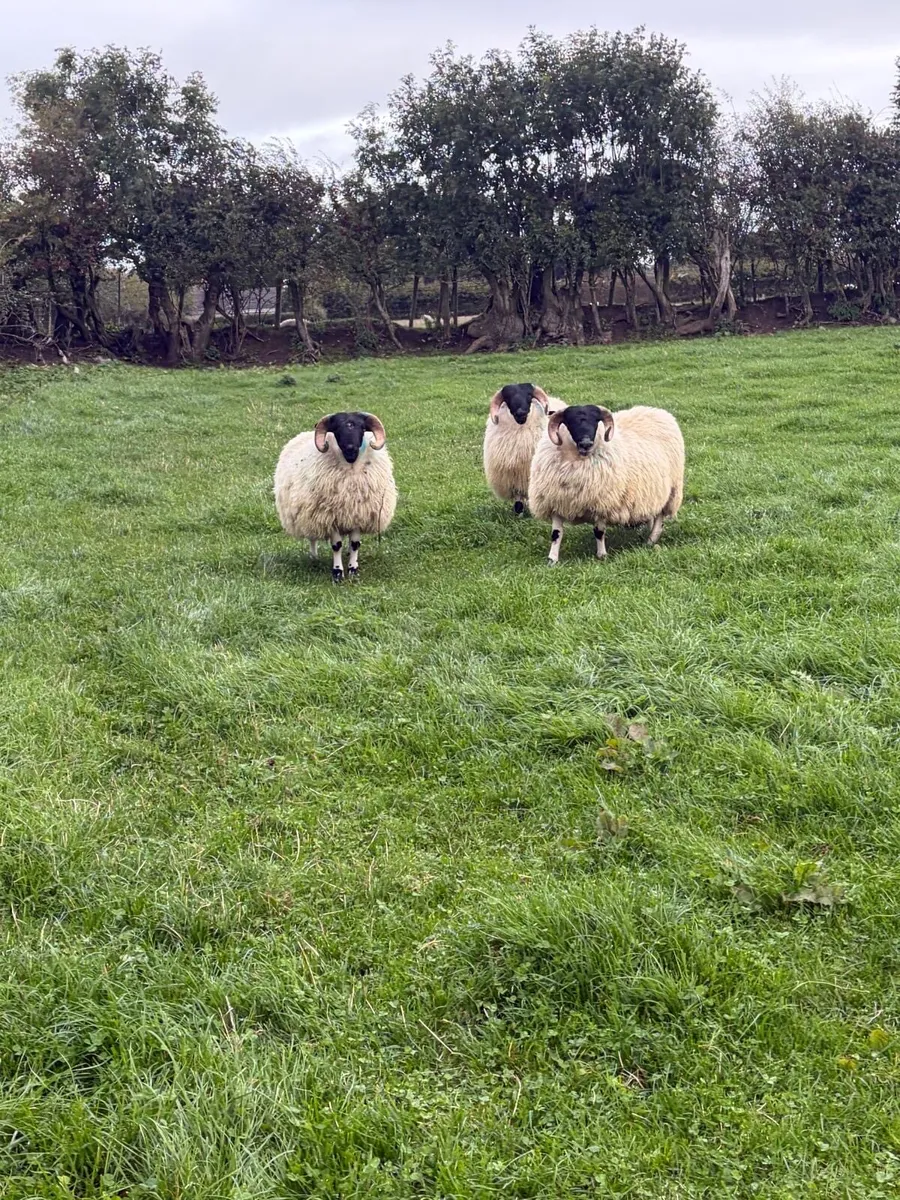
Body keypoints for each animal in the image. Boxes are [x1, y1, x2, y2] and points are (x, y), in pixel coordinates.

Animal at [274, 411, 396, 581]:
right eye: (336, 429)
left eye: (362, 427)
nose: (350, 447)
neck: (350, 465)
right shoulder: (329, 516)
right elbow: (336, 545)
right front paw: (338, 573)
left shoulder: (358, 514)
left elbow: (355, 543)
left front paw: (353, 569)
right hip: (308, 514)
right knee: (312, 538)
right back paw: (314, 557)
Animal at [482, 382, 565, 516]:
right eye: (508, 398)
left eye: (529, 396)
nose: (521, 413)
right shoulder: (514, 480)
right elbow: (518, 501)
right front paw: (518, 513)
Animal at [528, 403, 684, 565]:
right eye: (570, 421)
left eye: (596, 421)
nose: (586, 443)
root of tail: (657, 411)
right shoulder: (555, 502)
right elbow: (556, 534)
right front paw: (552, 559)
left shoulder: (602, 503)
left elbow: (599, 532)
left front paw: (602, 555)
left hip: (671, 490)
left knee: (660, 516)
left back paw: (651, 539)